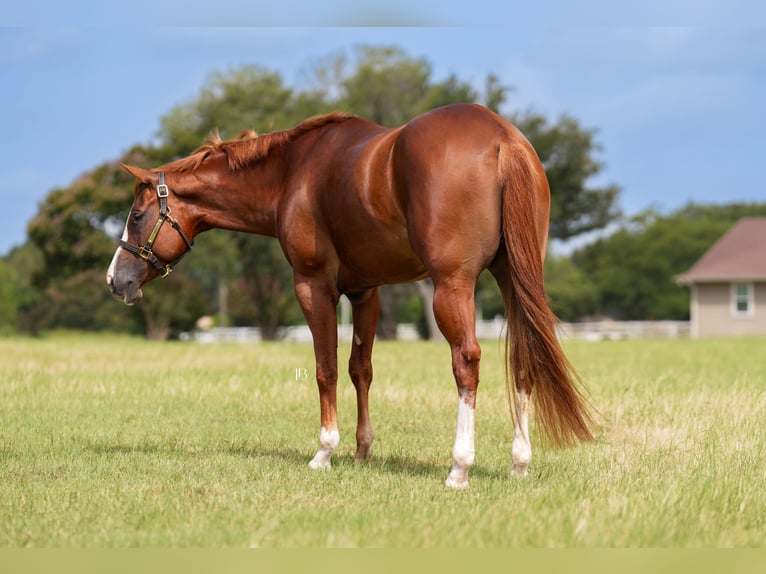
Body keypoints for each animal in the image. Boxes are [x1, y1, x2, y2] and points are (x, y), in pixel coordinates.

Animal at [106, 103, 594, 488]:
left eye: (136, 216)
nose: (115, 279)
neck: (292, 174)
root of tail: (502, 139)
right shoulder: (366, 292)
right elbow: (361, 369)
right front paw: (362, 451)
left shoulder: (312, 285)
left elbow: (325, 369)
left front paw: (325, 451)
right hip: (513, 277)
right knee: (524, 357)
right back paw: (520, 462)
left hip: (453, 286)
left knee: (467, 362)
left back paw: (460, 467)